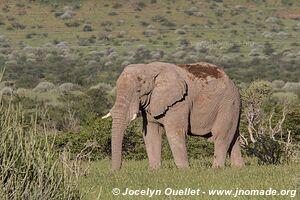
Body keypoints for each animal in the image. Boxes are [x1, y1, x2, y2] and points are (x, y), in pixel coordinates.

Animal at [102, 61, 244, 170]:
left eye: (138, 91)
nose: (115, 171)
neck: (148, 68)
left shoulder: (179, 102)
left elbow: (174, 132)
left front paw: (184, 170)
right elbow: (151, 133)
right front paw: (154, 170)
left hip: (228, 103)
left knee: (221, 135)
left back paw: (216, 169)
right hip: (233, 106)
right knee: (233, 136)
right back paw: (238, 168)